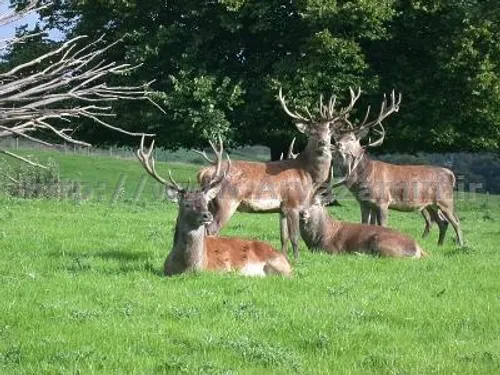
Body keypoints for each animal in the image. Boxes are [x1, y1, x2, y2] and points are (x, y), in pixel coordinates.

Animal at [137, 137, 292, 278]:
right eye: (187, 204)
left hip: (276, 265)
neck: (189, 268)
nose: (207, 215)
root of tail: (288, 262)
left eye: (206, 202)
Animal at [195, 87, 360, 258]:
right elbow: (294, 237)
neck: (308, 175)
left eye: (328, 131)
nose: (322, 143)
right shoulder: (293, 203)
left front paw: (283, 256)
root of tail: (204, 172)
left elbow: (284, 237)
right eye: (312, 132)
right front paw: (296, 259)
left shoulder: (282, 209)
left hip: (211, 202)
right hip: (226, 200)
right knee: (212, 229)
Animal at [298, 170, 428, 258]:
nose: (302, 213)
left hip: (383, 243)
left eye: (316, 203)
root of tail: (419, 248)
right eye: (300, 202)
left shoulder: (332, 249)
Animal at [330, 89, 462, 245]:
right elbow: (365, 223)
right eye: (337, 138)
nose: (338, 145)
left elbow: (383, 225)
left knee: (456, 221)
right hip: (430, 204)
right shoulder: (364, 203)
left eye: (351, 138)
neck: (365, 176)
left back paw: (461, 245)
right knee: (442, 222)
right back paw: (440, 245)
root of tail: (450, 174)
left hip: (445, 199)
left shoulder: (383, 201)